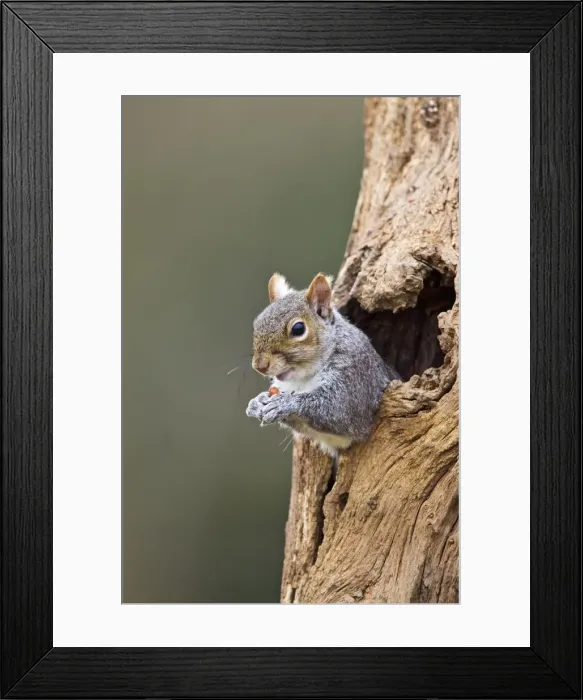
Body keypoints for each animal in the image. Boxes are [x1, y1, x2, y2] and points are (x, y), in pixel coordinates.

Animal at [246, 272, 400, 461]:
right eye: (257, 324)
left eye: (298, 329)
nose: (260, 366)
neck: (304, 378)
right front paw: (256, 402)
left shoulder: (356, 378)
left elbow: (337, 409)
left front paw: (285, 403)